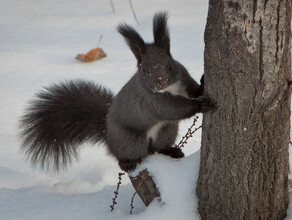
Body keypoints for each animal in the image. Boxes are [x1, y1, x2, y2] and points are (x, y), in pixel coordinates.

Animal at [18, 12, 214, 173]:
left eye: (170, 65)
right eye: (144, 70)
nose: (160, 82)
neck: (169, 88)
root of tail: (108, 137)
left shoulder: (182, 80)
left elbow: (192, 89)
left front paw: (202, 85)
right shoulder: (151, 100)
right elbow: (172, 109)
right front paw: (200, 104)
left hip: (166, 130)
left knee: (158, 148)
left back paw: (171, 151)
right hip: (131, 140)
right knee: (130, 154)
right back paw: (127, 163)